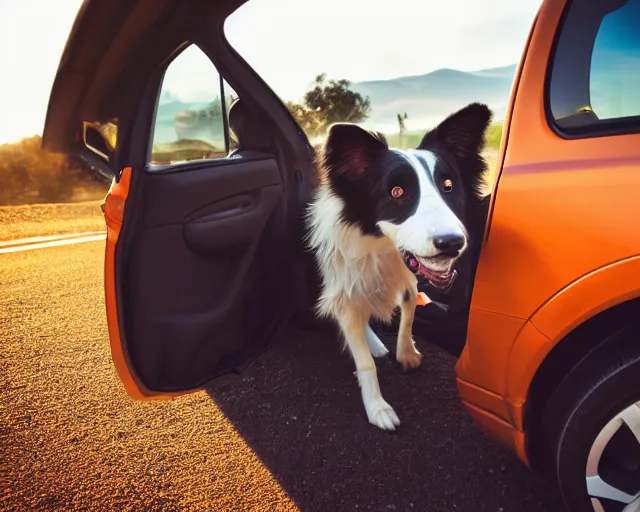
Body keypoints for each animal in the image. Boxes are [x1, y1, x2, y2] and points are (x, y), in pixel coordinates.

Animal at [304, 102, 490, 430]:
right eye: (397, 193)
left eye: (449, 186)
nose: (452, 243)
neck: (383, 248)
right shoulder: (343, 292)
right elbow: (364, 361)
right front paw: (377, 407)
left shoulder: (410, 277)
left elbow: (409, 313)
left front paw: (407, 355)